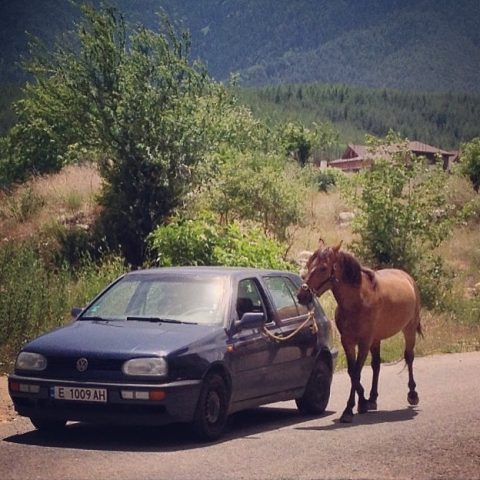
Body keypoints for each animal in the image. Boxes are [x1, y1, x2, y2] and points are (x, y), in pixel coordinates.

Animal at [296, 242, 420, 422]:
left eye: (323, 268)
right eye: (308, 264)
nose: (302, 295)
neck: (358, 301)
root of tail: (407, 277)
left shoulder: (363, 342)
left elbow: (356, 372)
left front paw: (349, 410)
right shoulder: (348, 342)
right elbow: (352, 371)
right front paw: (363, 402)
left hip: (408, 329)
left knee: (409, 357)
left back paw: (412, 394)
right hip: (376, 339)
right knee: (376, 364)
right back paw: (373, 398)